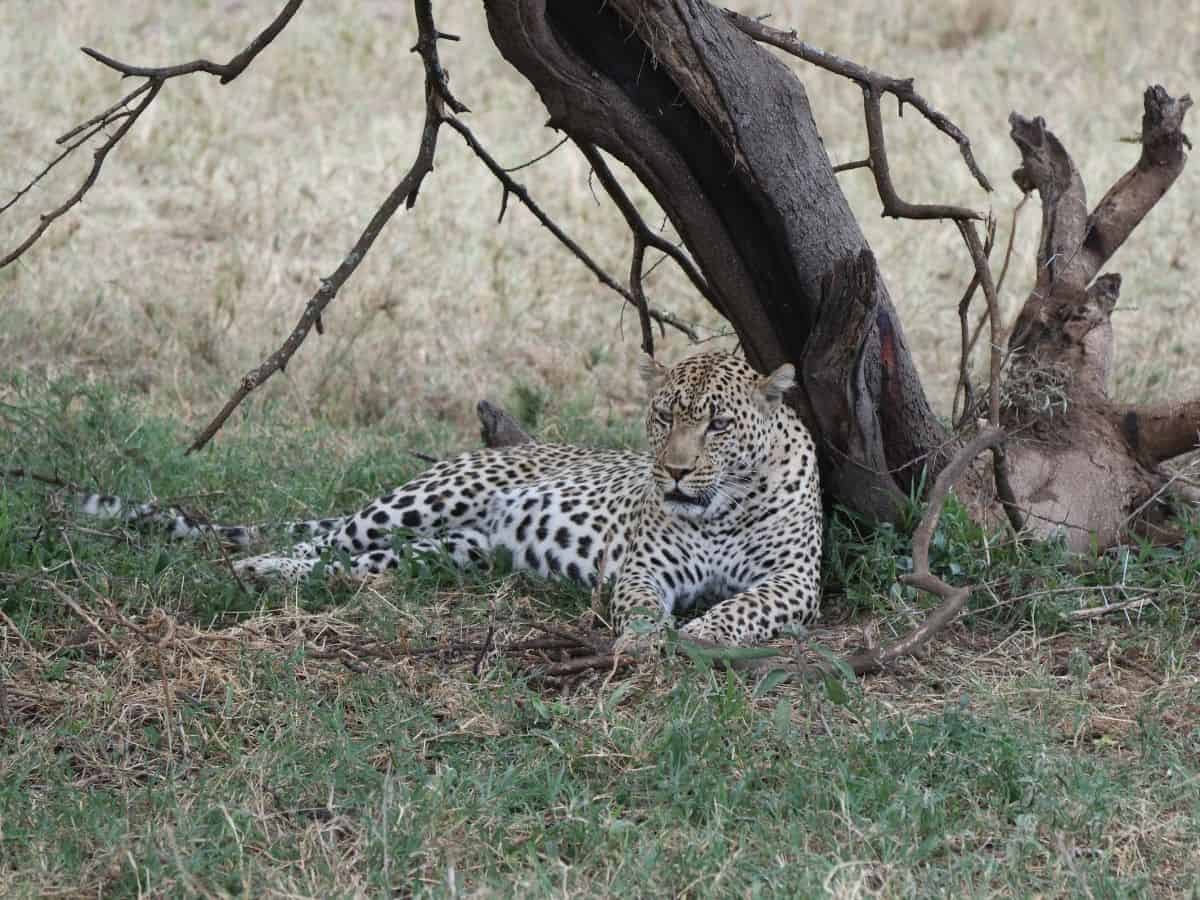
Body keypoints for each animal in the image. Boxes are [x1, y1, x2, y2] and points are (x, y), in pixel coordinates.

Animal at [213, 350, 823, 646]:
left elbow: (746, 604)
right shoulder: (646, 570)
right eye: (664, 416)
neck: (723, 510)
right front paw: (646, 638)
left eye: (719, 424)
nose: (675, 471)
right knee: (325, 541)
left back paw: (297, 578)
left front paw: (704, 632)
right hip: (429, 499)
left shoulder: (794, 579)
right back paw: (256, 568)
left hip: (457, 550)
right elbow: (642, 606)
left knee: (356, 561)